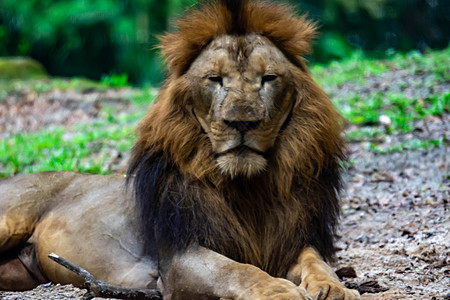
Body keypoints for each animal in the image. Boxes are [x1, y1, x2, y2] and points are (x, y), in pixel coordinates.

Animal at [0, 1, 358, 298]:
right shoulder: (179, 256)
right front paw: (277, 290)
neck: (248, 188)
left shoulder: (291, 239)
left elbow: (316, 261)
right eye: (215, 79)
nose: (242, 121)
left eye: (268, 78)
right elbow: (236, 270)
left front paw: (334, 287)